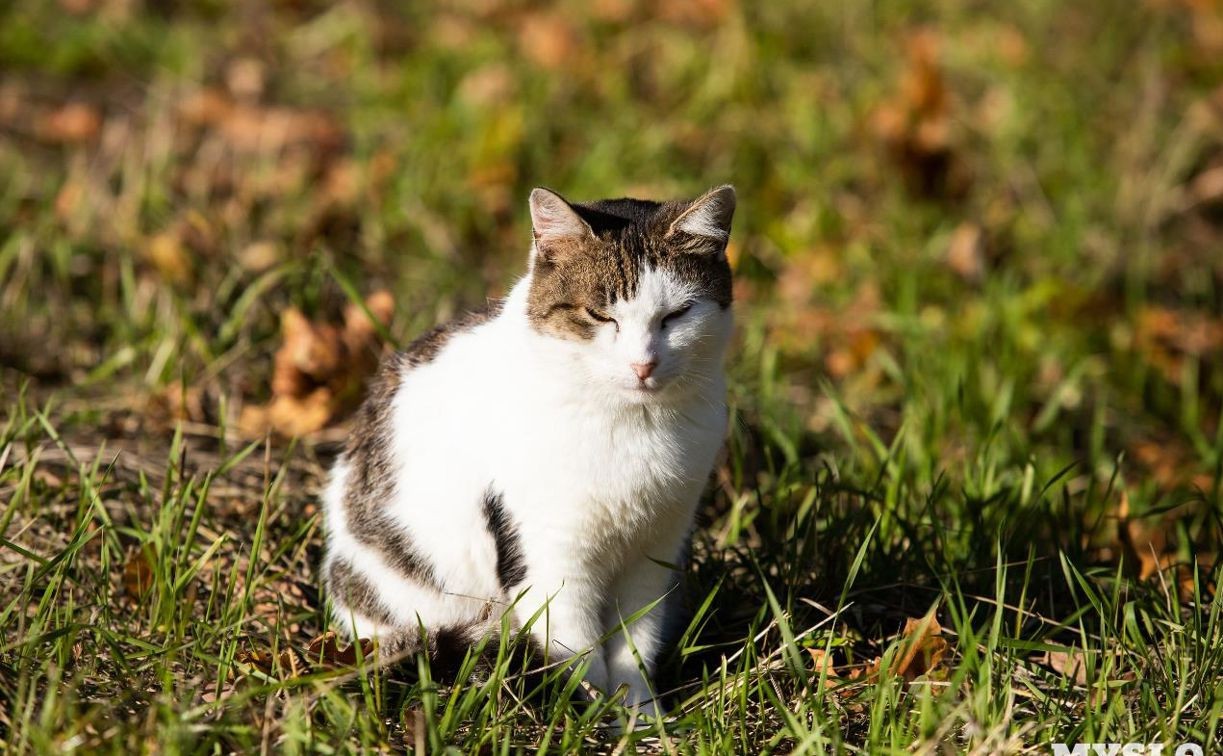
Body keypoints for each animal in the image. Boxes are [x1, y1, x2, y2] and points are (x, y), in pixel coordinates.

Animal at [320, 182, 733, 714]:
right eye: (599, 314)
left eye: (677, 314)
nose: (643, 365)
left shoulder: (656, 549)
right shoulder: (550, 556)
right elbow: (578, 653)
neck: (630, 423)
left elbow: (634, 644)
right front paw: (587, 715)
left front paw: (639, 716)